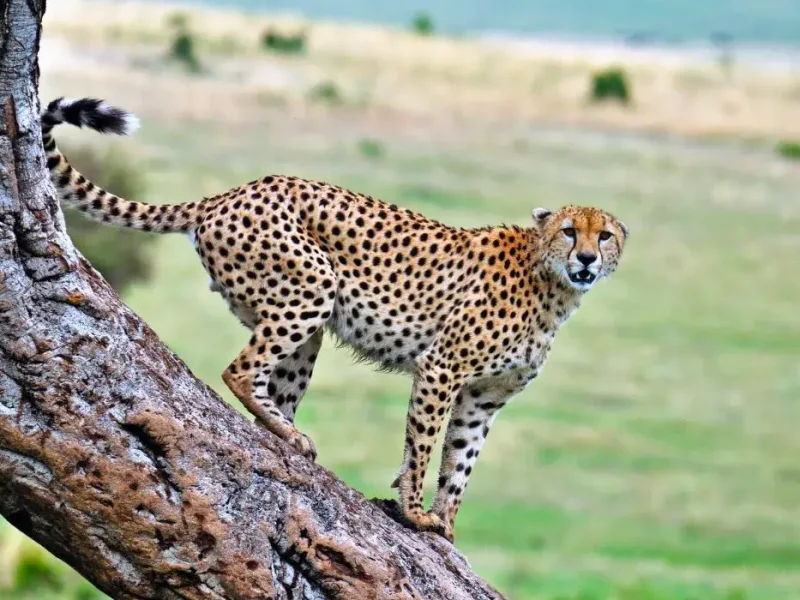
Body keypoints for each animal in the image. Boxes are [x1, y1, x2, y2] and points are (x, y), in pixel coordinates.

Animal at [40, 96, 629, 542]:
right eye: (570, 231)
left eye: (604, 235)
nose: (586, 259)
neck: (552, 286)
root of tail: (233, 192)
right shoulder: (441, 369)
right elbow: (423, 445)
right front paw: (414, 512)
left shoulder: (484, 396)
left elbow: (461, 462)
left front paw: (446, 525)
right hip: (313, 289)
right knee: (240, 369)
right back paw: (289, 433)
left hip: (303, 323)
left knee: (272, 381)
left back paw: (287, 431)